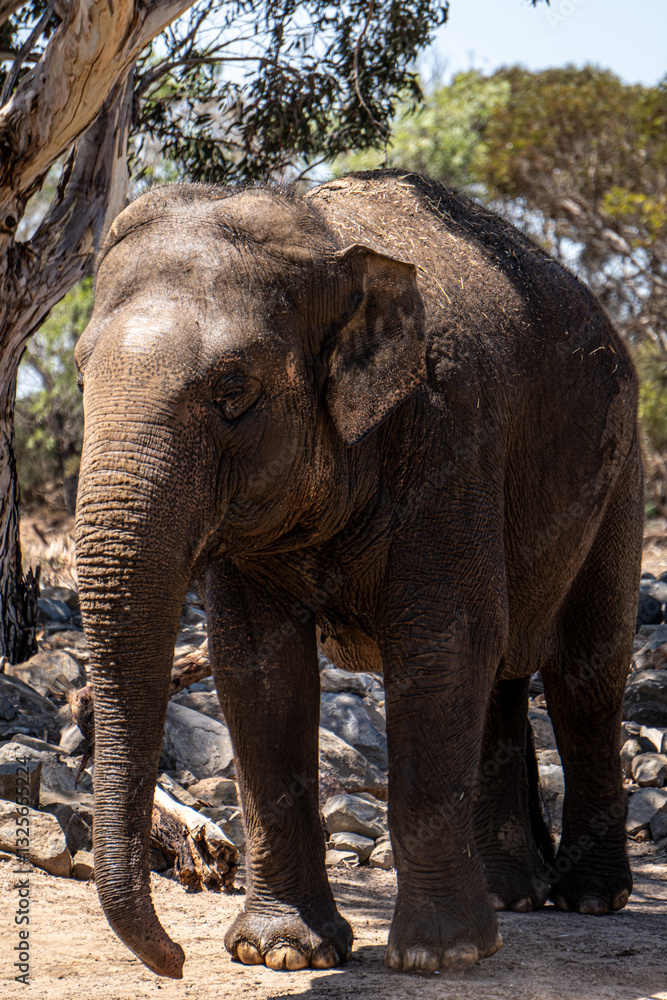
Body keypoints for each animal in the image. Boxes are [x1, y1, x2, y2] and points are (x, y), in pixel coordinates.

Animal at [74, 169, 643, 979]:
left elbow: (440, 649)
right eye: (79, 373)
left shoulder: (449, 435)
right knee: (502, 678)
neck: (322, 235)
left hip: (622, 471)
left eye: (233, 390)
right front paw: (280, 952)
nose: (177, 959)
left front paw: (440, 957)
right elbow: (257, 669)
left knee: (584, 677)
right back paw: (511, 896)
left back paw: (589, 899)